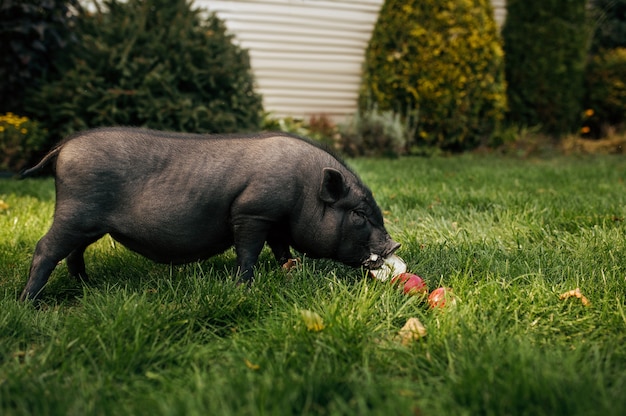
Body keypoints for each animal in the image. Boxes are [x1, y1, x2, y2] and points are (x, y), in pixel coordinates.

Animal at [20, 127, 400, 300]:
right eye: (360, 214)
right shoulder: (253, 212)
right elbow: (248, 252)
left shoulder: (276, 221)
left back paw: (88, 285)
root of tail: (63, 147)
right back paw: (29, 302)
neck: (304, 188)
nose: (394, 245)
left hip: (89, 223)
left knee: (74, 252)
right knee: (46, 248)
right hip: (75, 211)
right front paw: (244, 287)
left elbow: (281, 248)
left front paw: (291, 272)